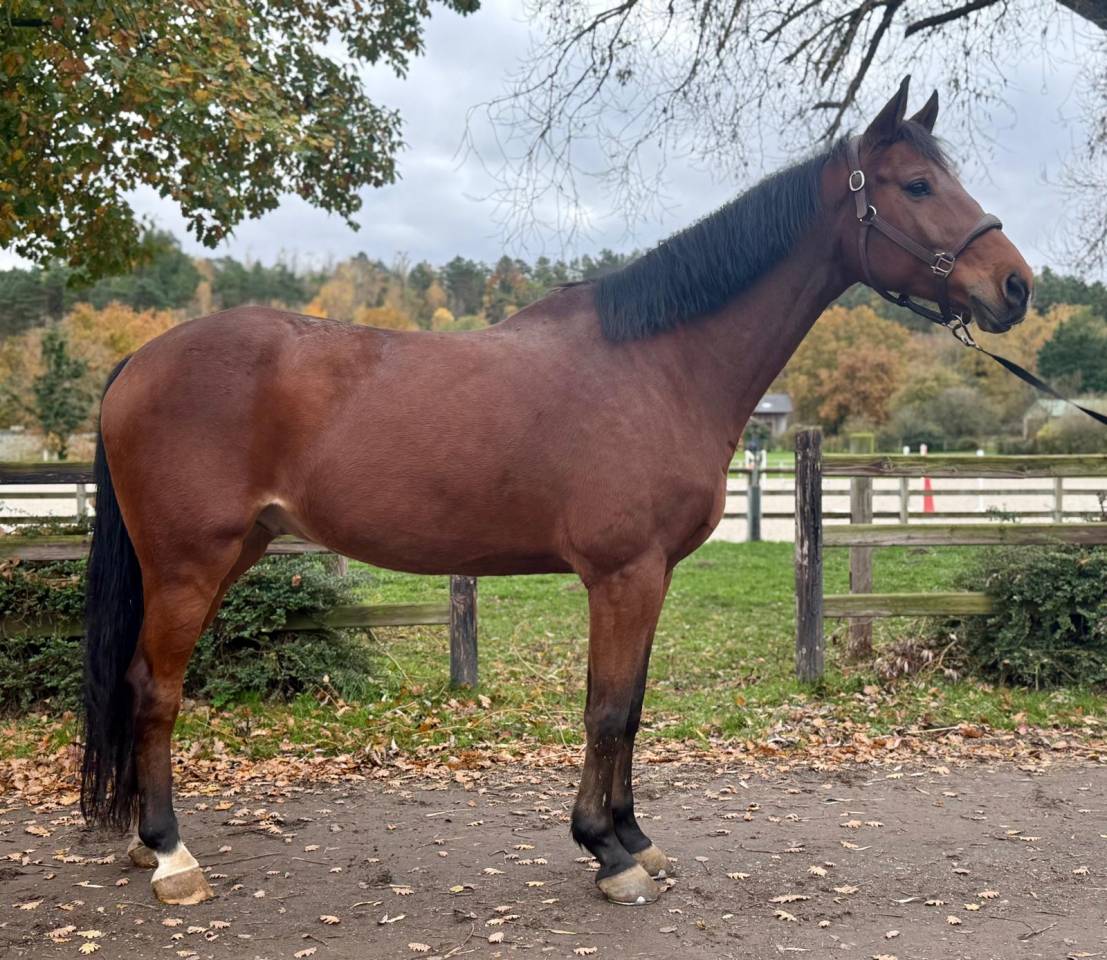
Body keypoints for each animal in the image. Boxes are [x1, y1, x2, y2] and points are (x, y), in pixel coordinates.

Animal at [80, 76, 1031, 907]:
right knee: (157, 691)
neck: (660, 364)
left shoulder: (651, 577)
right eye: (918, 183)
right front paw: (607, 855)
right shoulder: (622, 573)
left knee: (137, 683)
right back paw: (171, 857)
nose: (1015, 285)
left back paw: (142, 843)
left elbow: (630, 709)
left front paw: (634, 837)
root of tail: (137, 362)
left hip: (229, 556)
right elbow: (606, 711)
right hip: (189, 566)